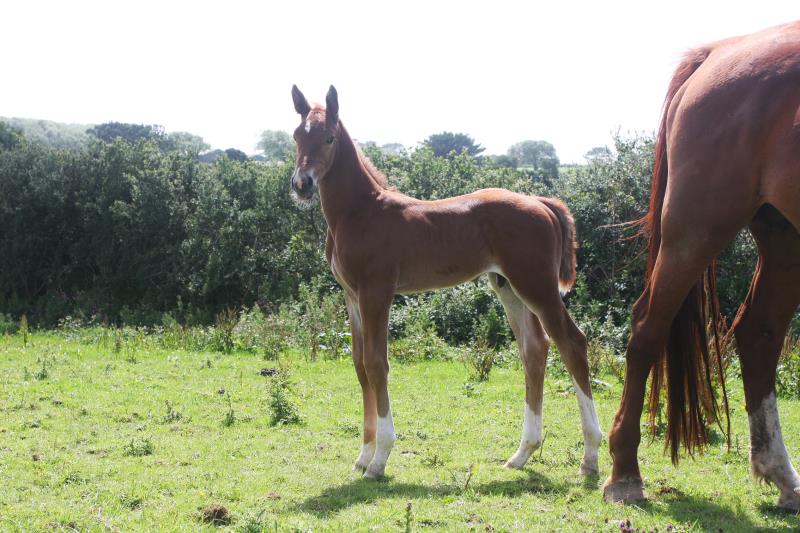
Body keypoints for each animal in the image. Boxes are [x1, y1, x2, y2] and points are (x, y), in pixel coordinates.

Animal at [288, 84, 600, 478]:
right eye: (296, 136)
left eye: (328, 137)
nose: (302, 184)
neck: (360, 211)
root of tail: (541, 203)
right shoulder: (352, 296)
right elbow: (359, 365)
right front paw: (363, 454)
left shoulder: (377, 291)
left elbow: (376, 364)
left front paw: (380, 458)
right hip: (507, 285)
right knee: (534, 349)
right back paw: (522, 453)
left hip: (537, 285)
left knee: (572, 344)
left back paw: (590, 456)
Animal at [608, 21, 800, 512]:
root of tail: (717, 52)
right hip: (695, 228)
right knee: (647, 328)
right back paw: (624, 474)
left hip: (785, 235)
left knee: (759, 333)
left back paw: (781, 475)